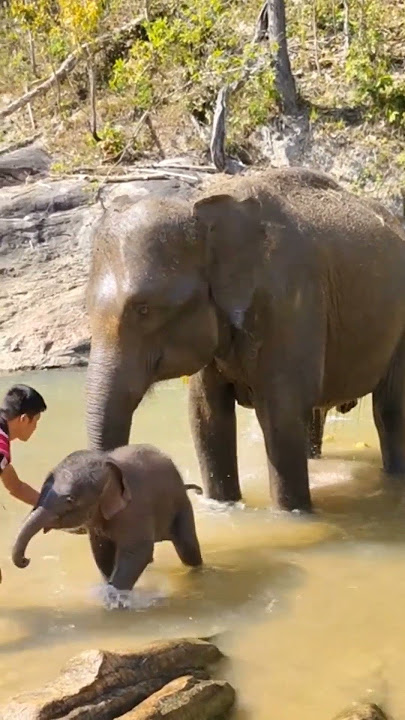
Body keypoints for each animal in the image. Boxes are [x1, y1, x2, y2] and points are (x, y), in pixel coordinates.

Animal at [12, 444, 203, 590]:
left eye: (70, 500)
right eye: (41, 492)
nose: (26, 560)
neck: (107, 465)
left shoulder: (136, 508)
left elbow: (137, 551)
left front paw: (114, 599)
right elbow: (102, 552)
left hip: (181, 505)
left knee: (187, 549)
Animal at [85, 166, 405, 513]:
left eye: (144, 309)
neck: (202, 206)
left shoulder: (290, 302)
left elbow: (281, 415)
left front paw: (291, 515)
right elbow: (207, 416)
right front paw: (222, 505)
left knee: (389, 410)